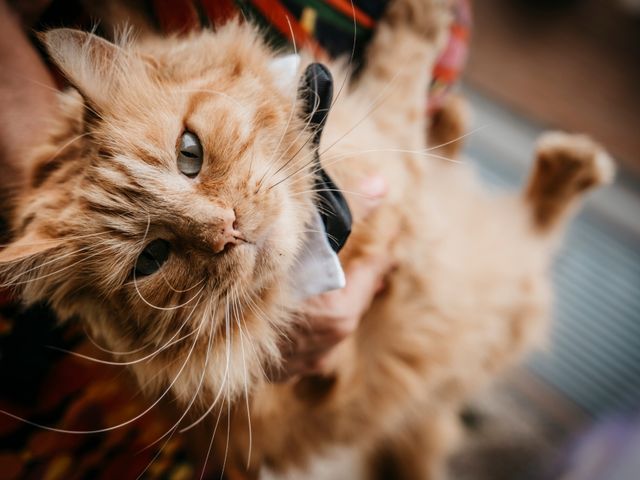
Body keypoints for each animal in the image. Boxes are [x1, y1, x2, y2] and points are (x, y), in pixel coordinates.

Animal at [0, 0, 616, 476]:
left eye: (188, 153)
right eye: (151, 259)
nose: (226, 230)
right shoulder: (394, 168)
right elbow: (403, 71)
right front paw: (421, 19)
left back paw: (461, 121)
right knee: (536, 235)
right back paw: (568, 168)